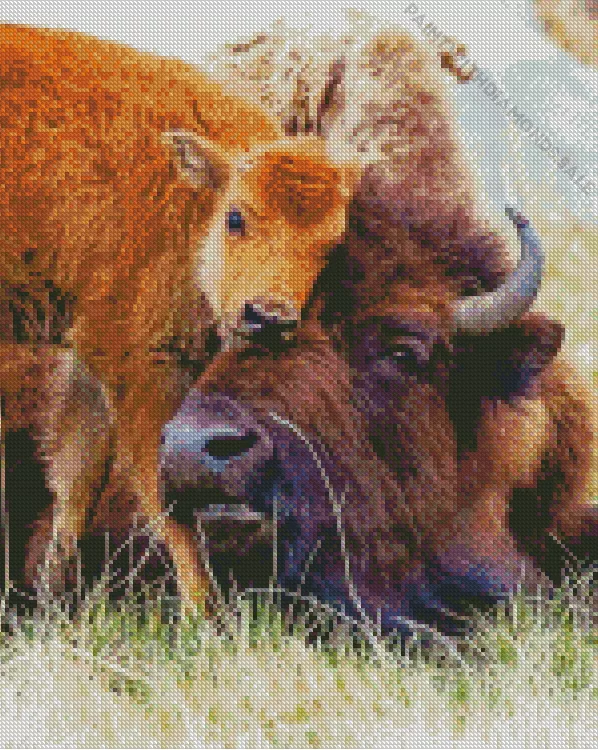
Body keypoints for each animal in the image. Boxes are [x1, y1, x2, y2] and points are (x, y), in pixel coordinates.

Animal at [0, 25, 358, 606]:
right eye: (237, 217)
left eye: (331, 248)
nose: (269, 317)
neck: (191, 198)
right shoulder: (143, 367)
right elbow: (167, 493)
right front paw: (206, 614)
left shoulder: (90, 359)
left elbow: (79, 477)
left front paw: (52, 602)